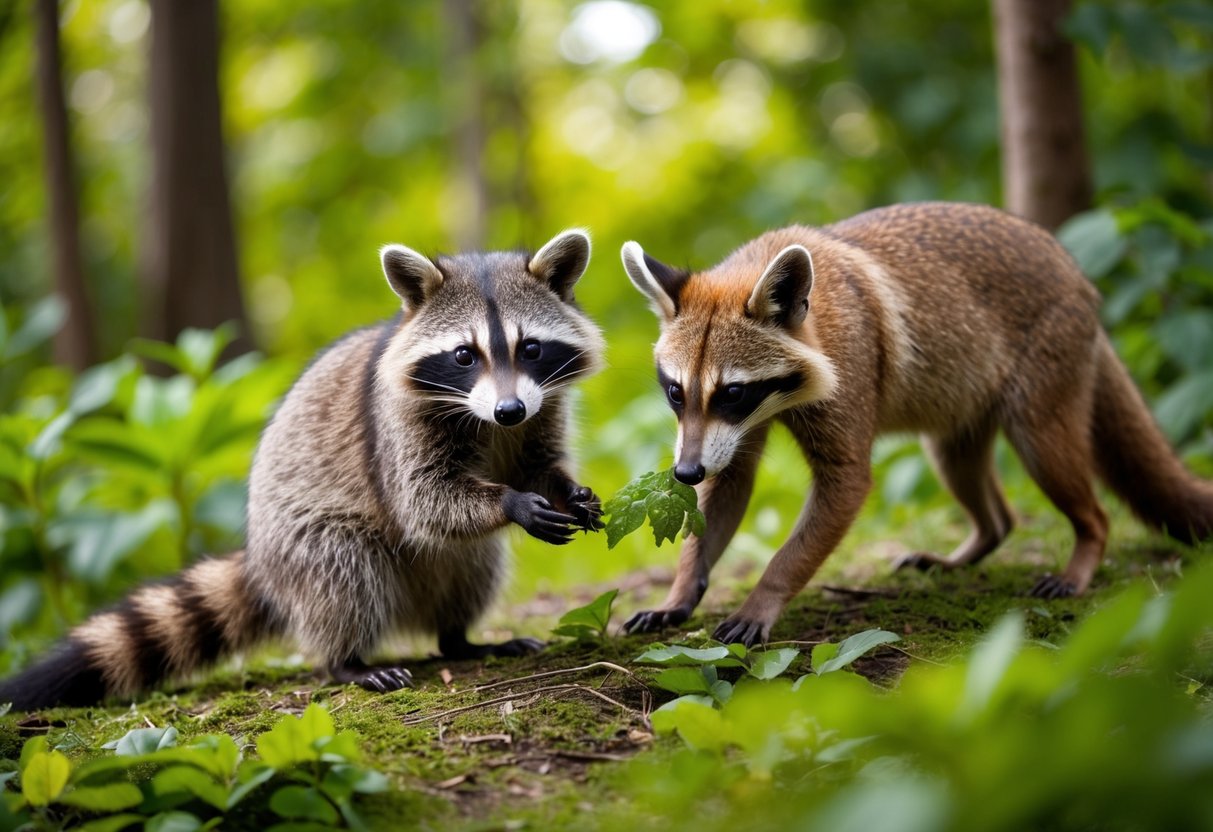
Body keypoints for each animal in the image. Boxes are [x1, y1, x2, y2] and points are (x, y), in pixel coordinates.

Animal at [0, 230, 605, 709]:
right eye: (464, 355)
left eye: (531, 348)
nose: (509, 411)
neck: (487, 419)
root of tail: (262, 561)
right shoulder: (396, 424)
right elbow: (423, 499)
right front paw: (512, 502)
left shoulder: (543, 405)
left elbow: (539, 462)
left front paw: (566, 491)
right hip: (303, 542)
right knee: (343, 572)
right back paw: (347, 660)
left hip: (439, 564)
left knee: (474, 564)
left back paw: (460, 638)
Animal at [620, 202, 1213, 646]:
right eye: (676, 392)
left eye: (734, 392)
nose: (684, 474)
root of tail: (1076, 273)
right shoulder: (721, 438)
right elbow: (727, 487)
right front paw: (682, 588)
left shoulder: (850, 372)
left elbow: (841, 489)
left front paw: (766, 593)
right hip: (957, 420)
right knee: (983, 498)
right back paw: (977, 543)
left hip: (1045, 387)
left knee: (1070, 479)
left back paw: (1087, 544)